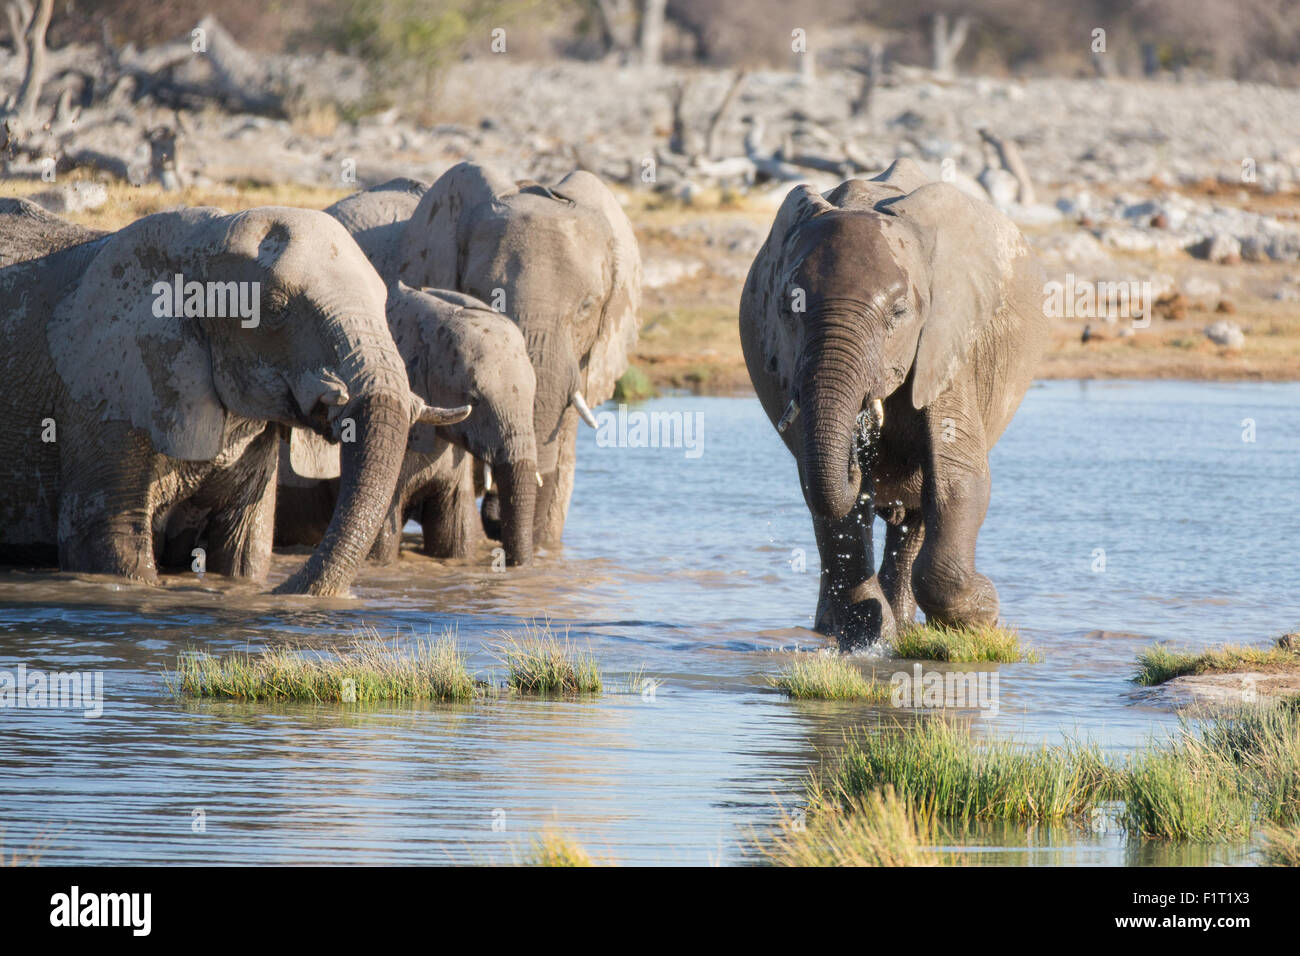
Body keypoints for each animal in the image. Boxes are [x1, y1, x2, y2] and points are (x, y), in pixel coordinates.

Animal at [738, 158, 1050, 650]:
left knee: (920, 507)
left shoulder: (948, 337)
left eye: (899, 314)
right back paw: (844, 628)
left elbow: (959, 479)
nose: (857, 452)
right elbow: (833, 499)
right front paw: (866, 635)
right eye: (789, 309)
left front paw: (985, 615)